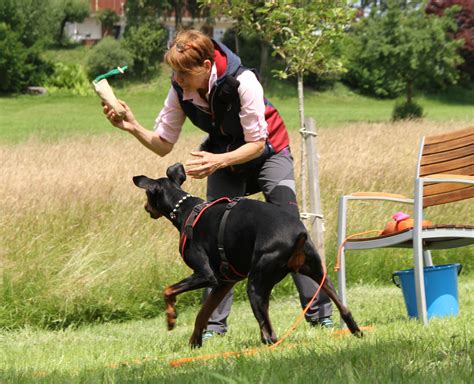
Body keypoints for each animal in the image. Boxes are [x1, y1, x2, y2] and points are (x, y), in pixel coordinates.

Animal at [133, 162, 362, 348]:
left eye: (146, 197)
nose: (145, 207)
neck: (185, 210)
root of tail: (298, 235)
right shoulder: (223, 282)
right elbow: (202, 314)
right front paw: (194, 342)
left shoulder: (205, 275)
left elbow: (168, 290)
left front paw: (171, 320)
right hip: (318, 272)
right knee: (344, 308)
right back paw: (355, 330)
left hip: (256, 283)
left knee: (270, 334)